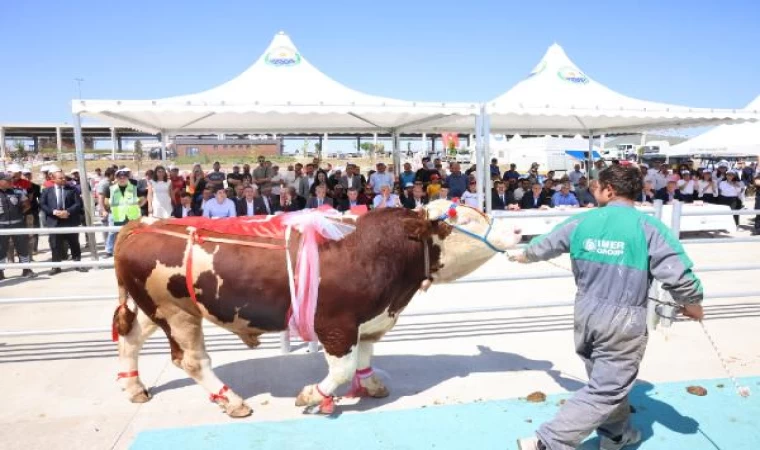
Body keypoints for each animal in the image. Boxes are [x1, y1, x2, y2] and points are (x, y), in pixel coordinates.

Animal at [113, 200, 524, 418]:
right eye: (462, 220)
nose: (518, 232)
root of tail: (142, 224)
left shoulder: (370, 319)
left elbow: (364, 356)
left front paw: (370, 383)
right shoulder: (335, 324)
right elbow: (341, 368)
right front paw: (314, 395)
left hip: (157, 309)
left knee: (130, 338)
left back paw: (134, 386)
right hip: (176, 313)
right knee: (192, 360)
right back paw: (231, 400)